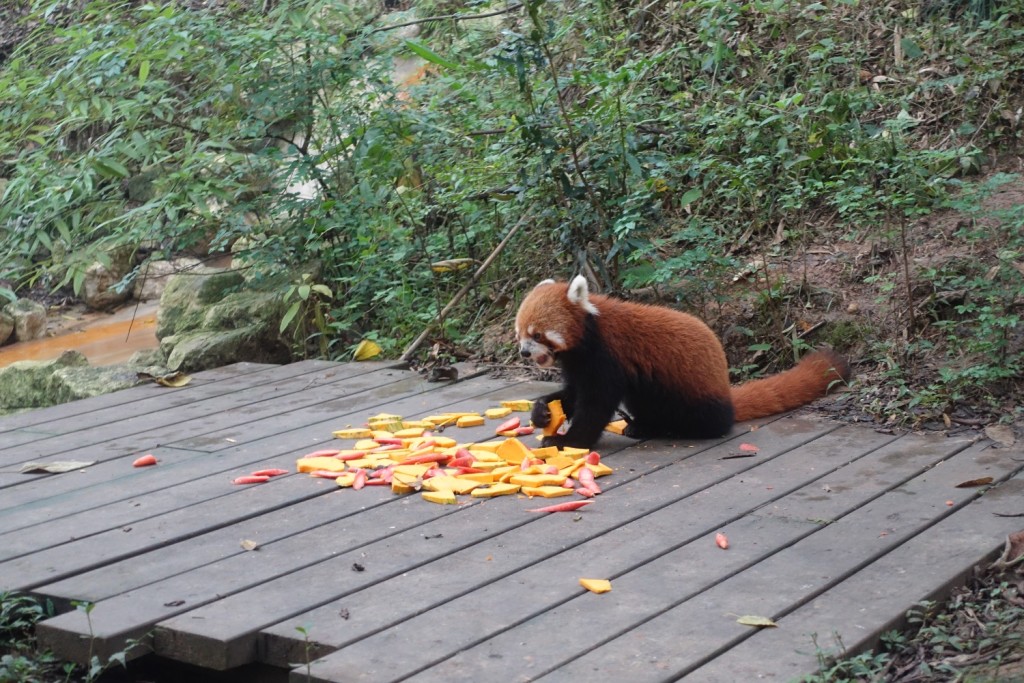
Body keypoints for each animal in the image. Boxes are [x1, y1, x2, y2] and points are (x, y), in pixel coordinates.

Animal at [516, 274, 851, 450]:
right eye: (519, 333)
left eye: (537, 333)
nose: (524, 353)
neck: (589, 333)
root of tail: (725, 391)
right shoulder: (579, 363)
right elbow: (571, 395)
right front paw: (542, 412)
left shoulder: (607, 357)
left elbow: (595, 405)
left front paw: (568, 441)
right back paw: (642, 426)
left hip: (694, 395)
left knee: (704, 418)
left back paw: (673, 428)